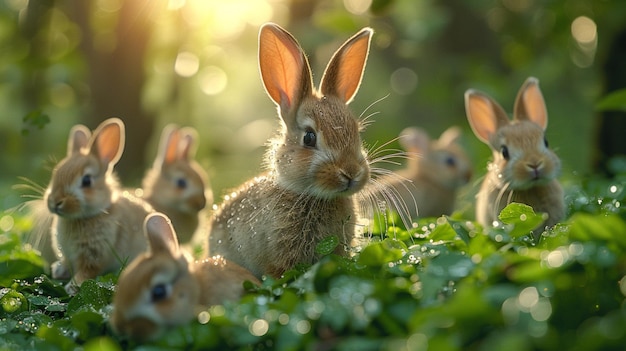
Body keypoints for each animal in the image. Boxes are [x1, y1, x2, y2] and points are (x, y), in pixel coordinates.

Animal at [44, 118, 152, 294]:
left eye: (87, 181)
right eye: (56, 173)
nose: (55, 202)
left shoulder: (94, 256)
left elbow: (86, 272)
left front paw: (72, 287)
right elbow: (67, 262)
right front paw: (59, 271)